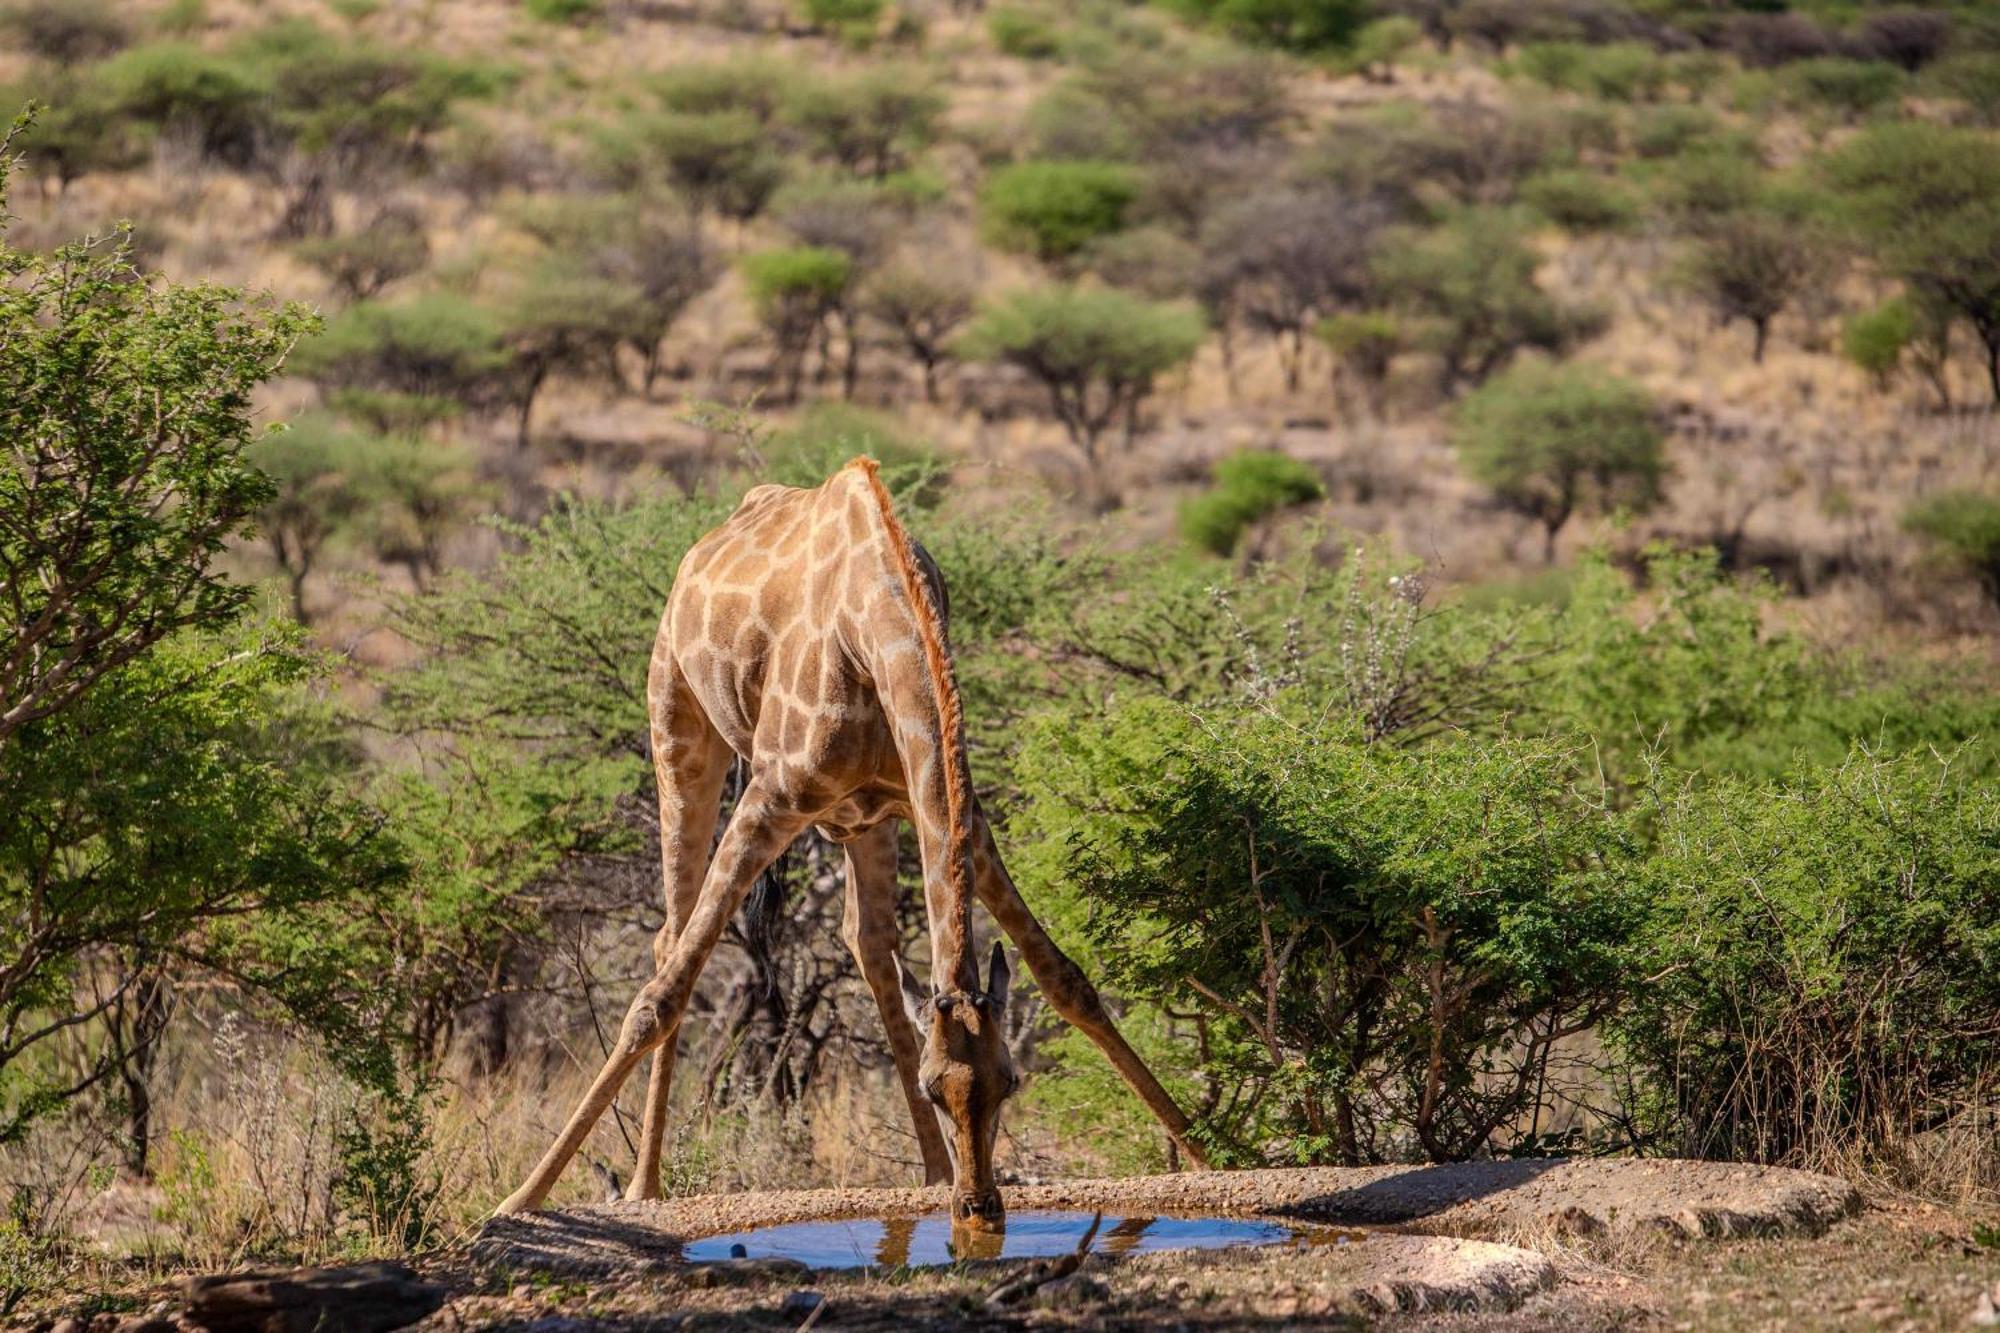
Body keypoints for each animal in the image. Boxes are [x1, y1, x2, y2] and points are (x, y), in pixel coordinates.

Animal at [496, 462, 1200, 1216]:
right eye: (932, 1087)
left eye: (1009, 1081)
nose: (979, 1204)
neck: (876, 624)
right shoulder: (769, 797)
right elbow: (660, 996)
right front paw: (519, 1198)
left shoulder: (952, 809)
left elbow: (1065, 978)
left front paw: (1210, 1151)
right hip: (678, 727)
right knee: (671, 940)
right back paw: (644, 1183)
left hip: (866, 820)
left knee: (867, 941)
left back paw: (930, 1172)